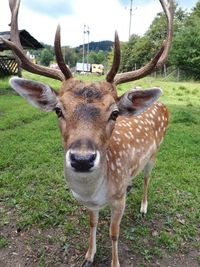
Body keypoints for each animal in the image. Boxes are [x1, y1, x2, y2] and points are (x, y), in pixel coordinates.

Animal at [0, 1, 173, 266]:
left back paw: (143, 206)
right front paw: (88, 255)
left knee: (147, 177)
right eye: (58, 110)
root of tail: (162, 104)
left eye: (114, 113)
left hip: (155, 153)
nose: (82, 159)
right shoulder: (91, 204)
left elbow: (114, 233)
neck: (96, 191)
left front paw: (115, 262)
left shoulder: (118, 201)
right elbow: (92, 224)